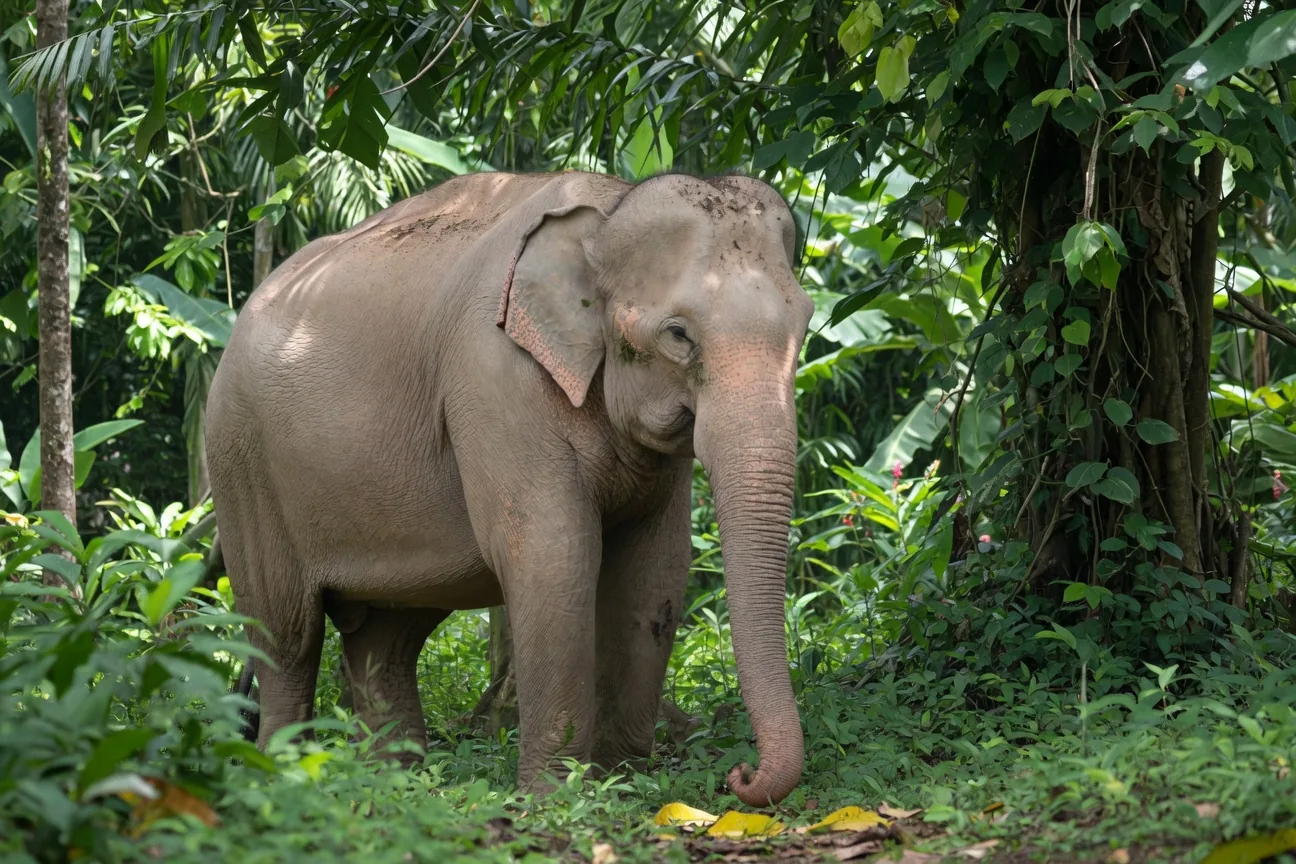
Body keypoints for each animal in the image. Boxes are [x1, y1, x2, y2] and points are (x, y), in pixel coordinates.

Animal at [205, 169, 814, 807]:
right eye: (678, 334)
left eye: (805, 324)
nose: (741, 775)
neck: (607, 209)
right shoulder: (493, 377)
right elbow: (555, 556)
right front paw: (553, 799)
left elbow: (654, 572)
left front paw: (623, 784)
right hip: (242, 464)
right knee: (284, 634)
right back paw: (282, 775)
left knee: (384, 639)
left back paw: (396, 783)